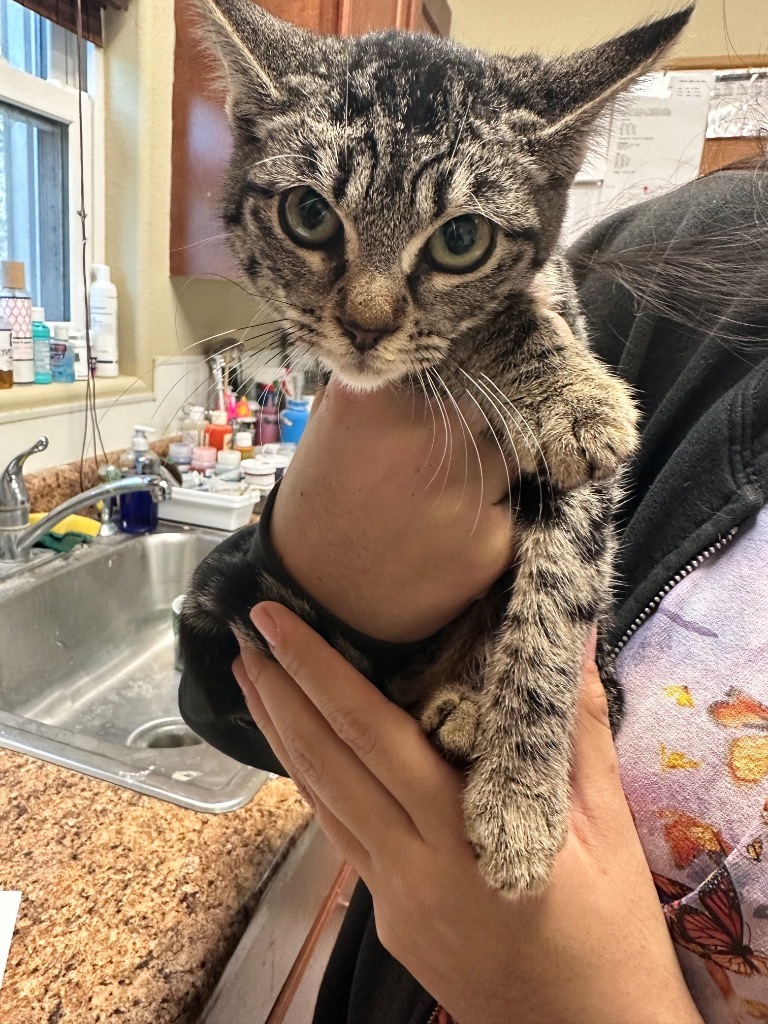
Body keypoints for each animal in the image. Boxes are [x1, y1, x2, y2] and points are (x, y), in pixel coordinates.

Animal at [180, 0, 692, 897]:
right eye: (309, 215)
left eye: (461, 241)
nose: (366, 325)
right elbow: (458, 346)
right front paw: (567, 385)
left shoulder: (584, 496)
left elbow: (558, 611)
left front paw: (520, 794)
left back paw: (464, 710)